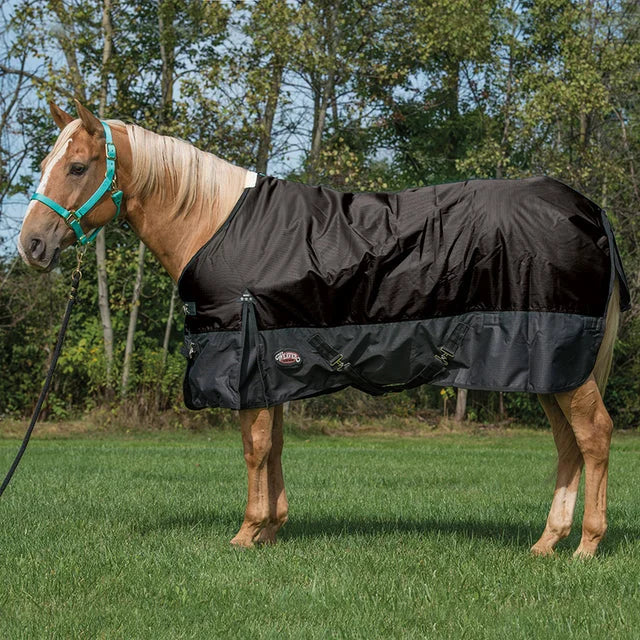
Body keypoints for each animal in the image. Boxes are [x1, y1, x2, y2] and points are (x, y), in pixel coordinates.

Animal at [18, 101, 627, 557]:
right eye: (45, 162)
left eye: (77, 167)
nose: (31, 245)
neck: (213, 221)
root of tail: (589, 211)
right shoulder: (274, 363)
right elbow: (276, 446)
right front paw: (272, 528)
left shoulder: (246, 358)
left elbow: (255, 448)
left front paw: (246, 533)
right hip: (549, 368)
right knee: (567, 444)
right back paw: (547, 542)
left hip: (562, 361)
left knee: (594, 435)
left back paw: (586, 546)